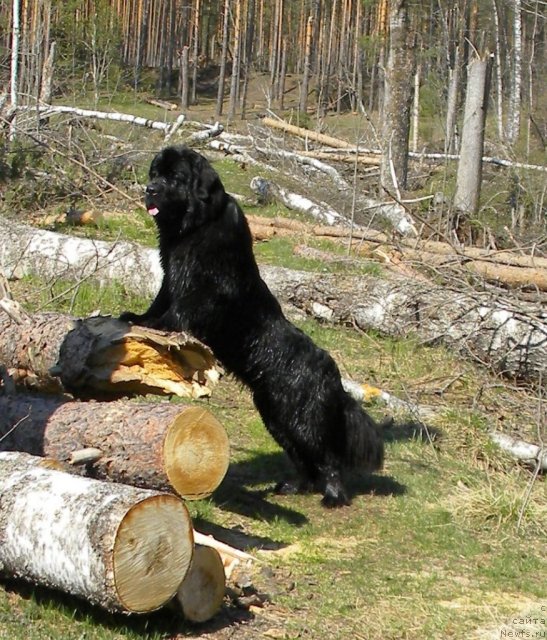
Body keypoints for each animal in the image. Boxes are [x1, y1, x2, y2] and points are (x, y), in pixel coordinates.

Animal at [121, 146, 384, 510]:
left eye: (174, 178)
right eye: (154, 174)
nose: (150, 190)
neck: (197, 226)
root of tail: (333, 374)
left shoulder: (201, 289)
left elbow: (178, 311)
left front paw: (156, 326)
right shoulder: (172, 277)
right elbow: (160, 301)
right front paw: (138, 317)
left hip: (303, 419)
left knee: (326, 456)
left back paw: (333, 496)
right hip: (275, 415)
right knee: (303, 458)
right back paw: (292, 486)